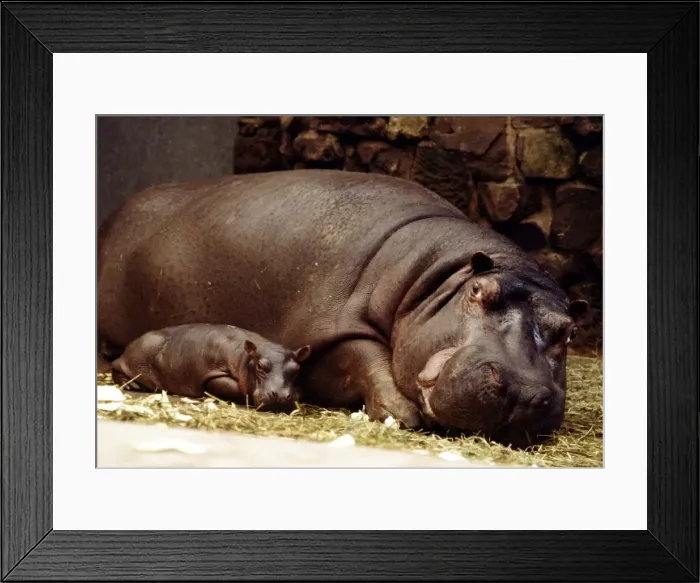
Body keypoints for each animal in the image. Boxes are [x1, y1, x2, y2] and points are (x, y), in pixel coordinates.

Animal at [111, 323, 311, 411]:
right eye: (261, 366)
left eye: (296, 369)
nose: (281, 396)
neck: (246, 357)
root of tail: (132, 344)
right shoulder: (214, 373)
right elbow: (231, 387)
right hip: (135, 358)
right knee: (116, 367)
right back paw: (133, 385)